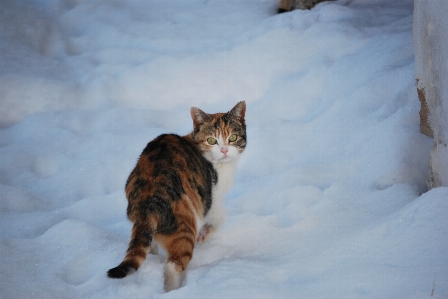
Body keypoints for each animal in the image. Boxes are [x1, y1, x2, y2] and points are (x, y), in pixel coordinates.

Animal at [107, 102, 247, 292]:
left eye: (232, 137)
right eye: (211, 140)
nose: (224, 150)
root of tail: (148, 201)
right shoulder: (210, 199)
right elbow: (220, 215)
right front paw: (204, 234)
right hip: (184, 224)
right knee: (173, 265)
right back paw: (175, 290)